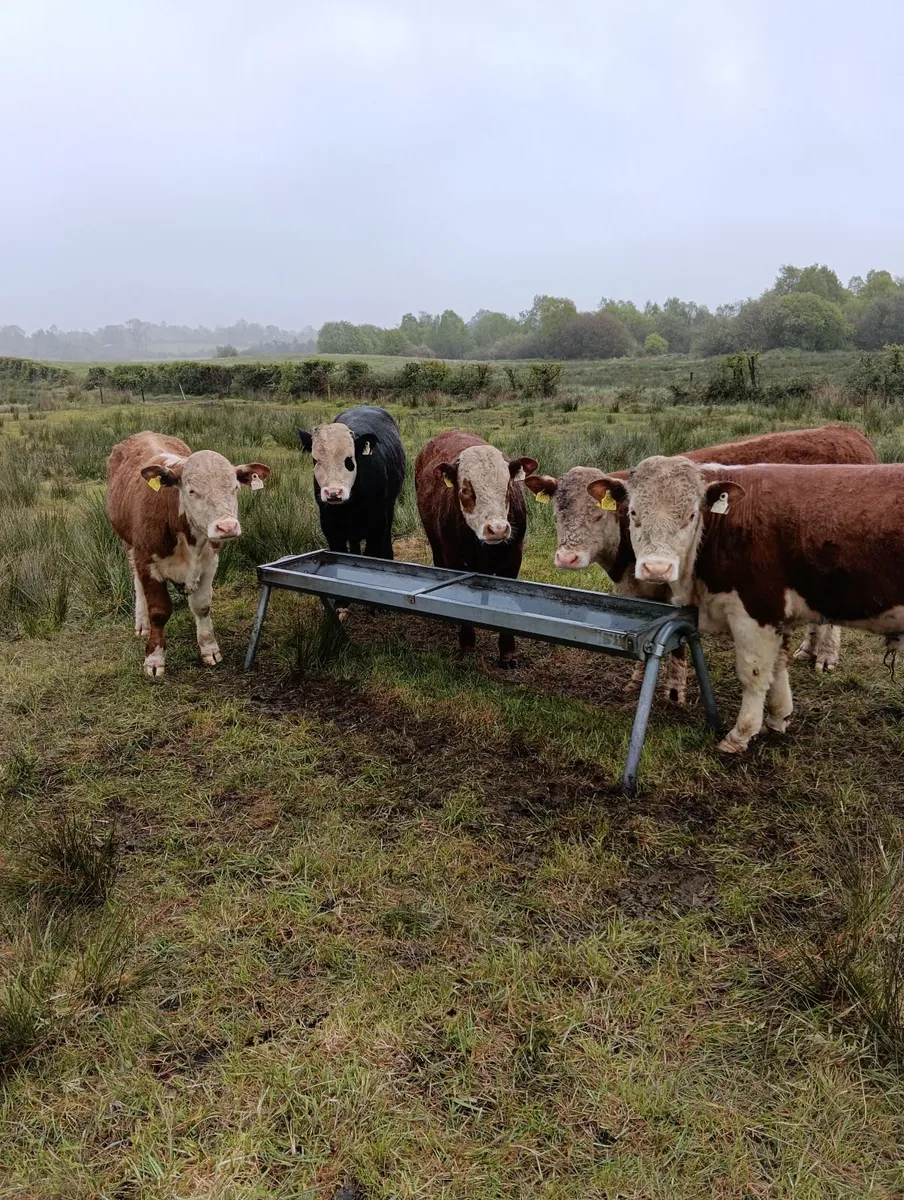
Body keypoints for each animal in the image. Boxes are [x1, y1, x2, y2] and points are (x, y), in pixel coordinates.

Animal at [107, 432, 270, 677]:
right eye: (192, 491)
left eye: (235, 488)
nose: (227, 527)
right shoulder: (146, 561)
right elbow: (159, 611)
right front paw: (154, 659)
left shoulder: (210, 562)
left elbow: (202, 606)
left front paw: (209, 648)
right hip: (128, 543)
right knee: (136, 582)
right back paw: (142, 623)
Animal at [297, 406, 405, 560]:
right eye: (316, 460)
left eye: (349, 459)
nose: (333, 493)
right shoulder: (330, 528)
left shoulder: (377, 526)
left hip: (389, 507)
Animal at [415, 430, 538, 667]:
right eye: (465, 489)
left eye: (508, 487)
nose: (497, 529)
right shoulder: (454, 559)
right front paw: (466, 644)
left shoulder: (513, 559)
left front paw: (507, 653)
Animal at [525, 425, 876, 698]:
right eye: (558, 512)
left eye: (599, 515)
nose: (567, 557)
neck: (624, 565)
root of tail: (844, 430)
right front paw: (637, 681)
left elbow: (675, 641)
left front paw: (674, 690)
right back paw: (809, 648)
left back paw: (826, 656)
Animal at [586, 456, 904, 754]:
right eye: (633, 513)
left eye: (691, 515)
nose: (656, 568)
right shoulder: (777, 616)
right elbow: (777, 666)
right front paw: (777, 718)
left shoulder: (755, 609)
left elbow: (753, 674)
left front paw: (740, 734)